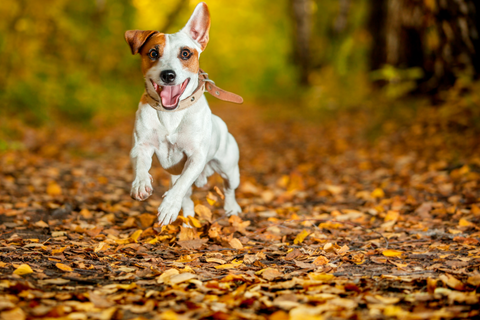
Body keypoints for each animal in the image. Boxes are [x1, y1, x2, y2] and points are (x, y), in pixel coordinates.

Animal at [124, 3, 242, 226]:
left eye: (186, 53)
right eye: (153, 53)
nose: (168, 75)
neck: (171, 114)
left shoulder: (196, 156)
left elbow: (184, 182)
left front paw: (169, 206)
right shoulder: (141, 145)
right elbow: (141, 165)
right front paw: (141, 183)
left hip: (229, 169)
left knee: (228, 188)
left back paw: (231, 208)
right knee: (187, 196)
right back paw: (186, 216)